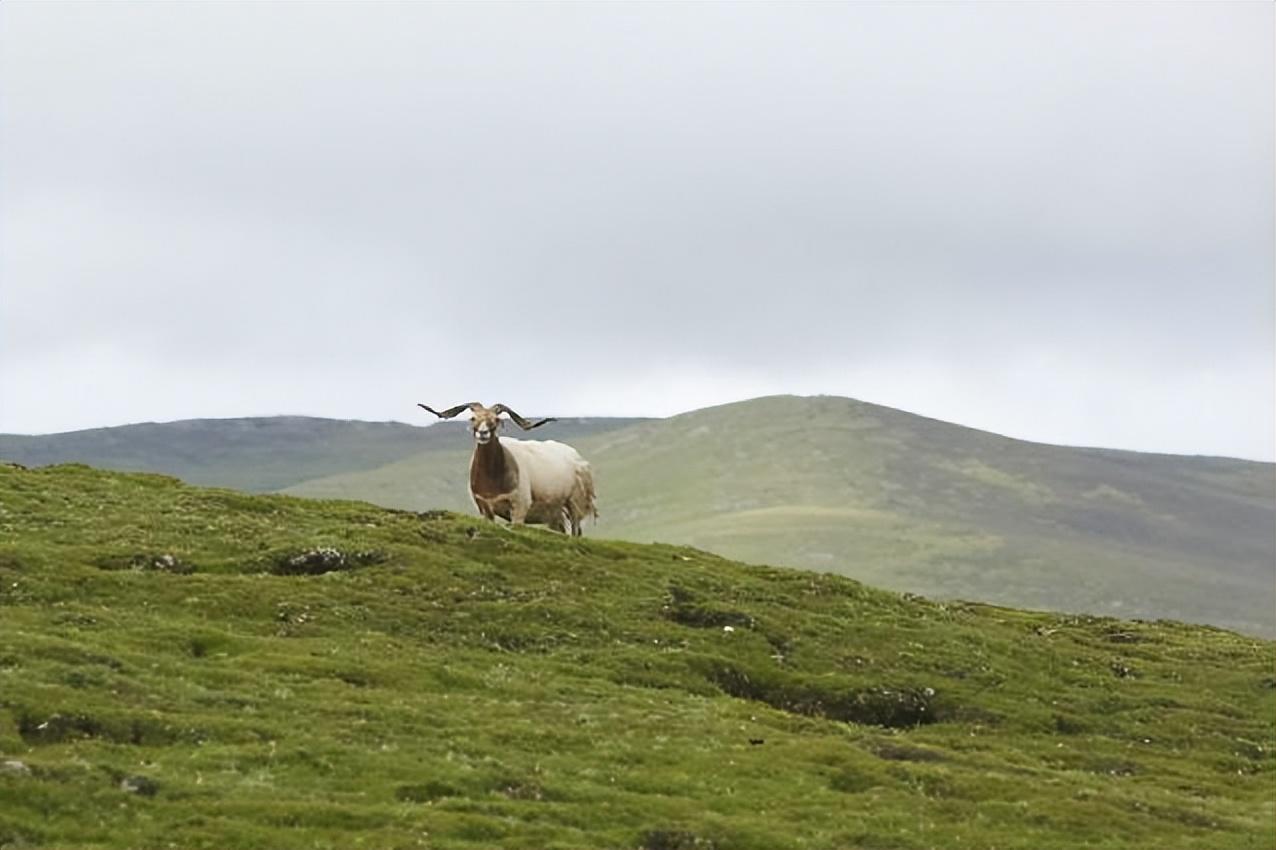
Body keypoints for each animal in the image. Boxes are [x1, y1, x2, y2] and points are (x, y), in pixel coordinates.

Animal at [418, 400, 597, 533]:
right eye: (473, 418)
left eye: (496, 419)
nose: (483, 433)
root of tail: (578, 459)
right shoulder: (484, 508)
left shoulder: (519, 508)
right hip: (554, 513)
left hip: (574, 504)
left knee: (575, 531)